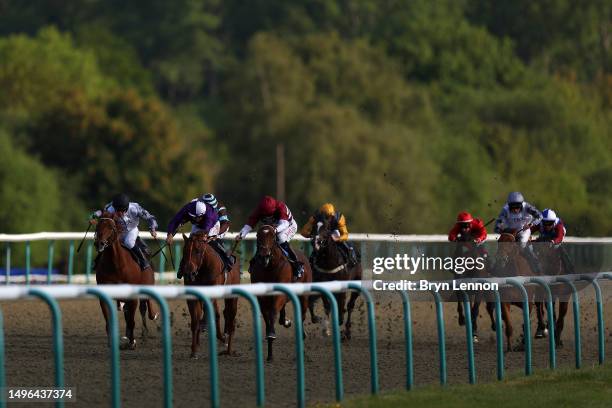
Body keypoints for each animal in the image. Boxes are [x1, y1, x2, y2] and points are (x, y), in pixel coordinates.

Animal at [94, 212, 158, 350]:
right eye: (98, 225)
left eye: (111, 227)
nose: (100, 244)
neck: (116, 265)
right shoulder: (105, 296)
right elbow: (109, 321)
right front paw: (112, 342)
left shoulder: (132, 296)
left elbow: (132, 320)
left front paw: (132, 342)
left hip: (148, 283)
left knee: (145, 307)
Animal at [250, 225, 314, 362]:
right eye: (258, 236)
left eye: (273, 236)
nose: (264, 256)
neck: (270, 267)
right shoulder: (262, 298)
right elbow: (267, 317)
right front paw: (270, 353)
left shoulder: (279, 294)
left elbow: (273, 313)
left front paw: (271, 334)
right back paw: (286, 322)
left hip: (303, 296)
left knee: (302, 315)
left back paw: (302, 337)